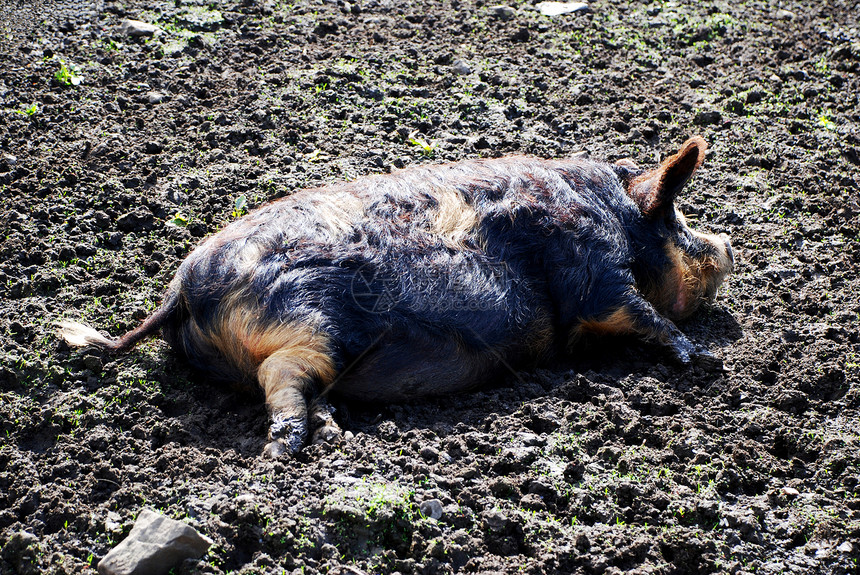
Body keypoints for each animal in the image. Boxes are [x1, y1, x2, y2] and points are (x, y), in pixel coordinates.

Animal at [58, 137, 732, 456]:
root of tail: (182, 292)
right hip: (310, 322)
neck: (617, 218)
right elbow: (639, 313)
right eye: (679, 222)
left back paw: (334, 432)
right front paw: (704, 360)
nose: (728, 245)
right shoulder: (591, 268)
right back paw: (289, 450)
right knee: (281, 377)